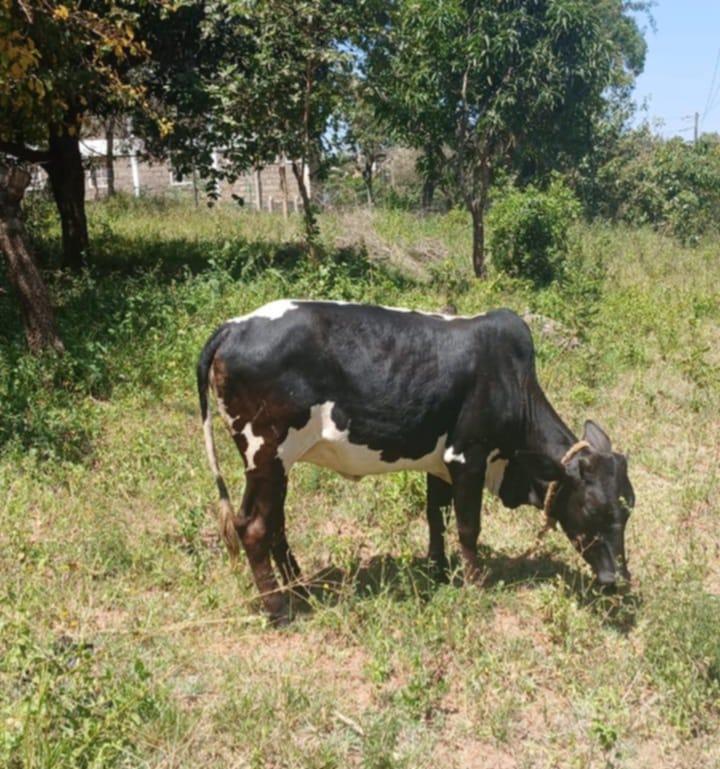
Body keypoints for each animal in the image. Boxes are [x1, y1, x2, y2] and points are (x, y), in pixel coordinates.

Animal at [195, 296, 632, 620]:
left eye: (627, 509)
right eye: (591, 508)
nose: (618, 577)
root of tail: (236, 324)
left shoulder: (439, 463)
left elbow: (435, 517)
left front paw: (438, 570)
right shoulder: (467, 457)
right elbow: (468, 528)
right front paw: (474, 584)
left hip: (271, 466)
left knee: (269, 524)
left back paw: (300, 587)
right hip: (268, 453)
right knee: (255, 528)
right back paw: (278, 608)